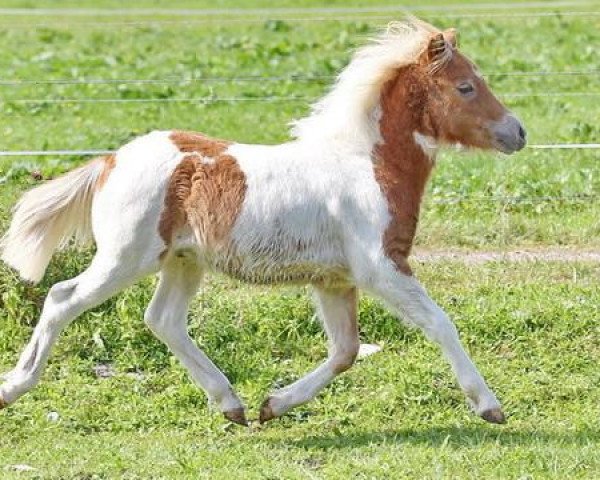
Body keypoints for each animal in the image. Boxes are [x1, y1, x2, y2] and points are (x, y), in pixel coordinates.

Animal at [0, 19, 524, 424]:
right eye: (466, 86)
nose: (517, 132)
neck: (366, 163)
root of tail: (111, 160)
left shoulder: (334, 280)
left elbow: (345, 351)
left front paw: (274, 405)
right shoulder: (381, 266)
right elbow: (439, 323)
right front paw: (489, 406)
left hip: (183, 260)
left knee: (163, 319)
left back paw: (231, 404)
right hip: (127, 256)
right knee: (62, 298)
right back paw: (14, 387)